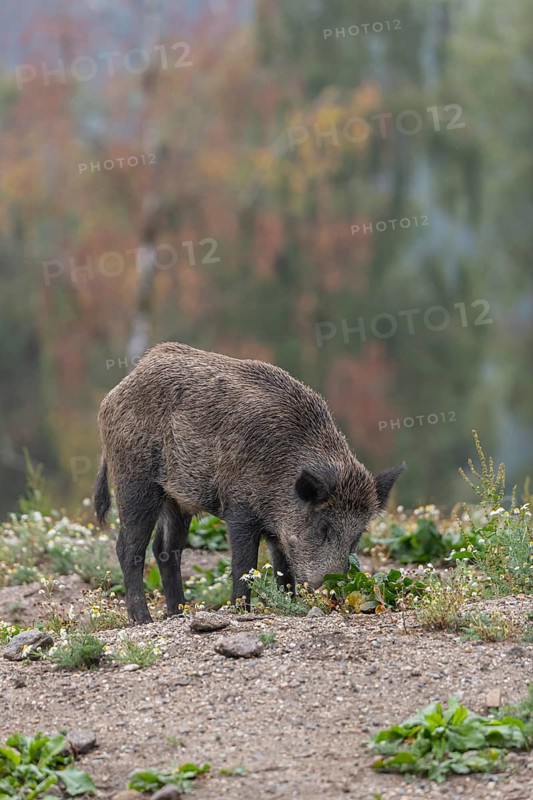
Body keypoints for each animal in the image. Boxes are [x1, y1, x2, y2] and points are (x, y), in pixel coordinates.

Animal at [95, 342, 404, 623]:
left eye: (357, 535)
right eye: (323, 527)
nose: (333, 592)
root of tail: (114, 394)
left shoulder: (280, 532)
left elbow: (284, 570)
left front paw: (287, 604)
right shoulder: (240, 510)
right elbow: (245, 565)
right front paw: (241, 611)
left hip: (177, 497)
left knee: (166, 549)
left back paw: (178, 613)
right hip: (136, 481)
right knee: (129, 548)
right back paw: (143, 619)